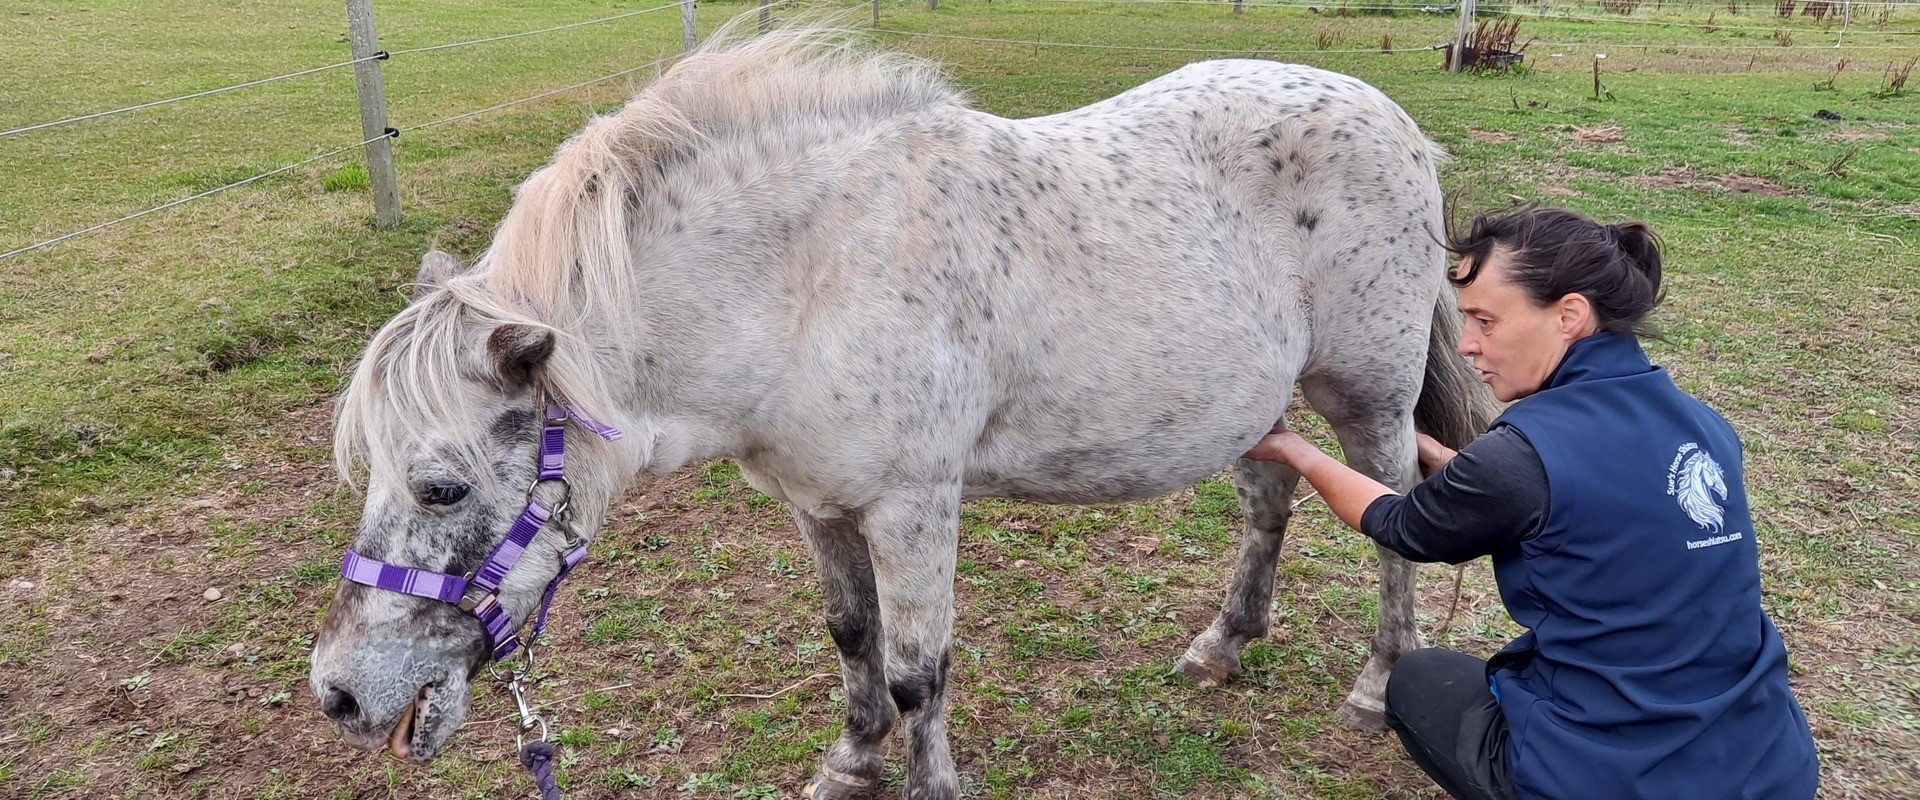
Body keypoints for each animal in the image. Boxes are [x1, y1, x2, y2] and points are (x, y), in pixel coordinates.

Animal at [308, 24, 1493, 799]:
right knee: (1268, 499)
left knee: (1392, 512)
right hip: (1256, 404)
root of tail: (1397, 124)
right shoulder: (817, 504)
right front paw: (851, 759)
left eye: (440, 485)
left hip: (1368, 393)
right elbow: (852, 635)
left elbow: (923, 670)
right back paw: (1222, 644)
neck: (805, 278)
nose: (340, 696)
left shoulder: (915, 506)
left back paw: (1374, 686)